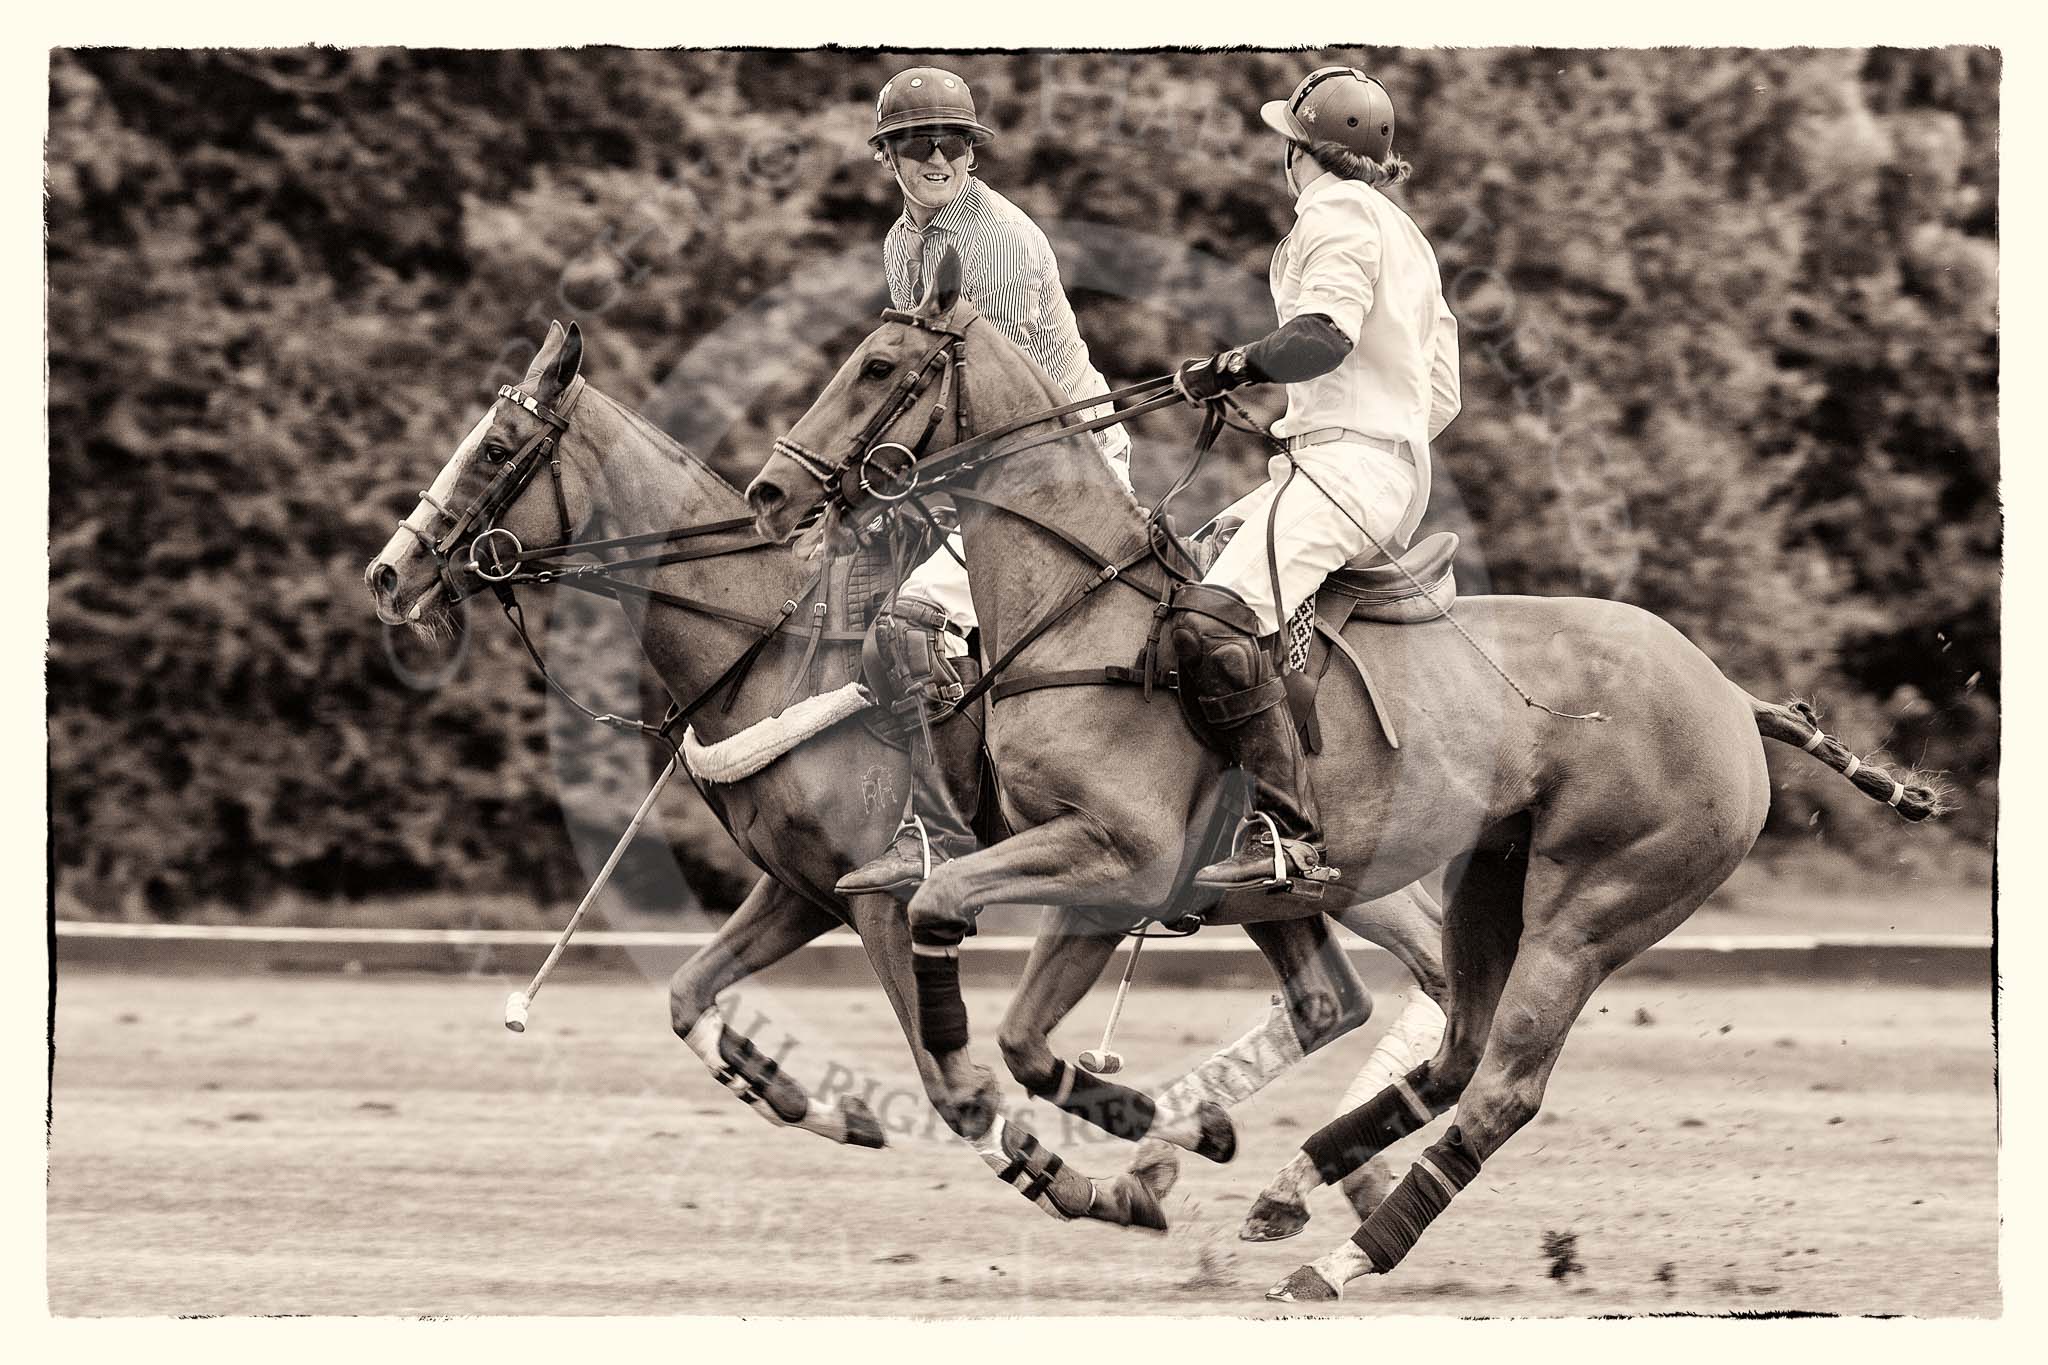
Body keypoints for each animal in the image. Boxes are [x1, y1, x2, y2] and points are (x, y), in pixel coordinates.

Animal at [364, 323, 1458, 1236]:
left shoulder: (883, 895)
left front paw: (1076, 1178)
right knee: (1353, 997)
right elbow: (685, 995)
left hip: (1353, 874)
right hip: (1291, 888)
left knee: (1431, 978)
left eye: (495, 450)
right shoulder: (804, 889)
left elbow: (954, 1089)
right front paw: (815, 1101)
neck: (770, 643)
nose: (387, 575)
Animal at [745, 248, 1941, 1301]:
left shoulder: (1117, 854)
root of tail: (1730, 697)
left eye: (879, 366)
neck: (1081, 610)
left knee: (1503, 1090)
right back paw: (1294, 1183)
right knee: (1453, 1053)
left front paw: (1067, 1127)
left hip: (1594, 907)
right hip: (1488, 879)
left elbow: (948, 921)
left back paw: (1342, 1259)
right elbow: (1028, 1043)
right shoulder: (1110, 880)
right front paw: (1162, 1138)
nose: (767, 493)